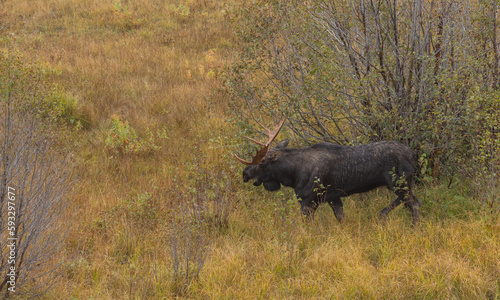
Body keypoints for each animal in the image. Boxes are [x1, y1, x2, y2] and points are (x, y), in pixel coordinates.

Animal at [235, 118, 422, 224]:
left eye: (261, 163)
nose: (245, 173)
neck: (292, 175)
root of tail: (413, 154)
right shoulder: (334, 198)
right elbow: (341, 219)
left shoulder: (308, 201)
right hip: (403, 183)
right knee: (411, 202)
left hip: (398, 182)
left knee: (414, 204)